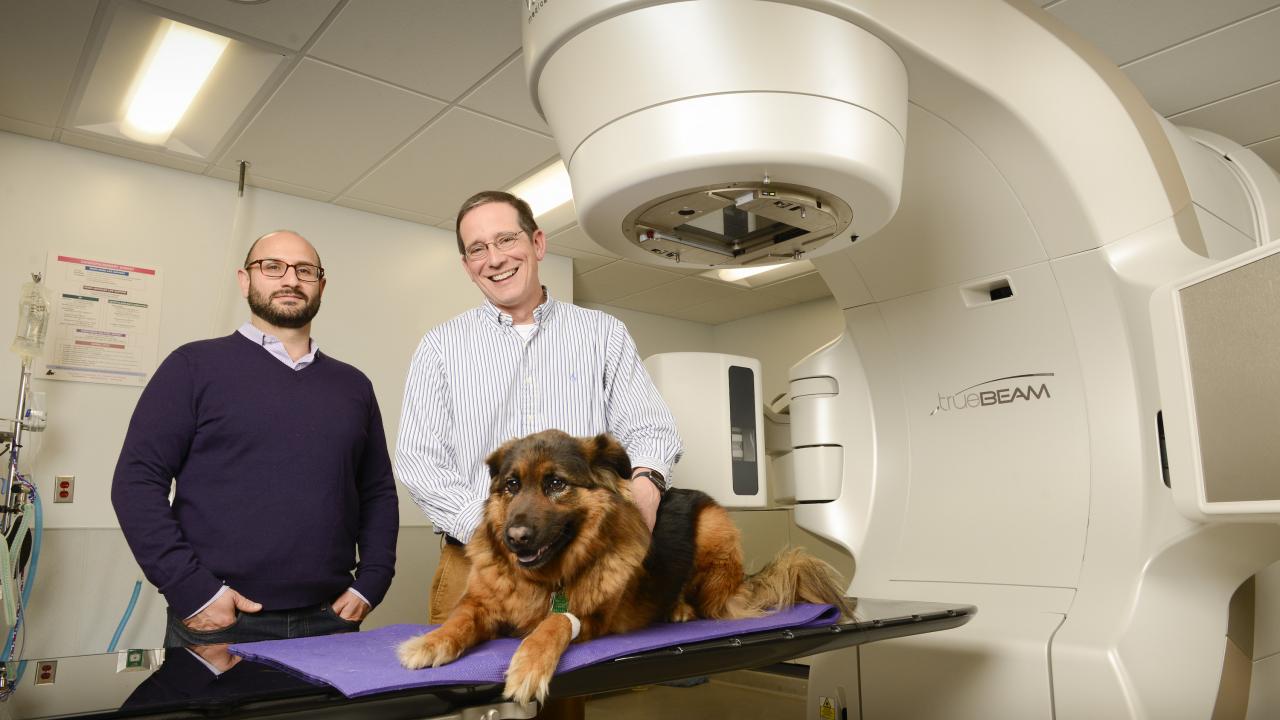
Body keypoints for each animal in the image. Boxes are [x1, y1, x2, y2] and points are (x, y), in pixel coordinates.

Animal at [394, 427, 844, 696]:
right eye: (512, 485)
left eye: (555, 483)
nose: (515, 538)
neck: (545, 578)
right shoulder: (482, 601)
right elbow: (461, 618)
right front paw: (430, 643)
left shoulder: (591, 617)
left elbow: (553, 624)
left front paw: (528, 663)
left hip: (713, 529)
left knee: (704, 599)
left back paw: (680, 609)